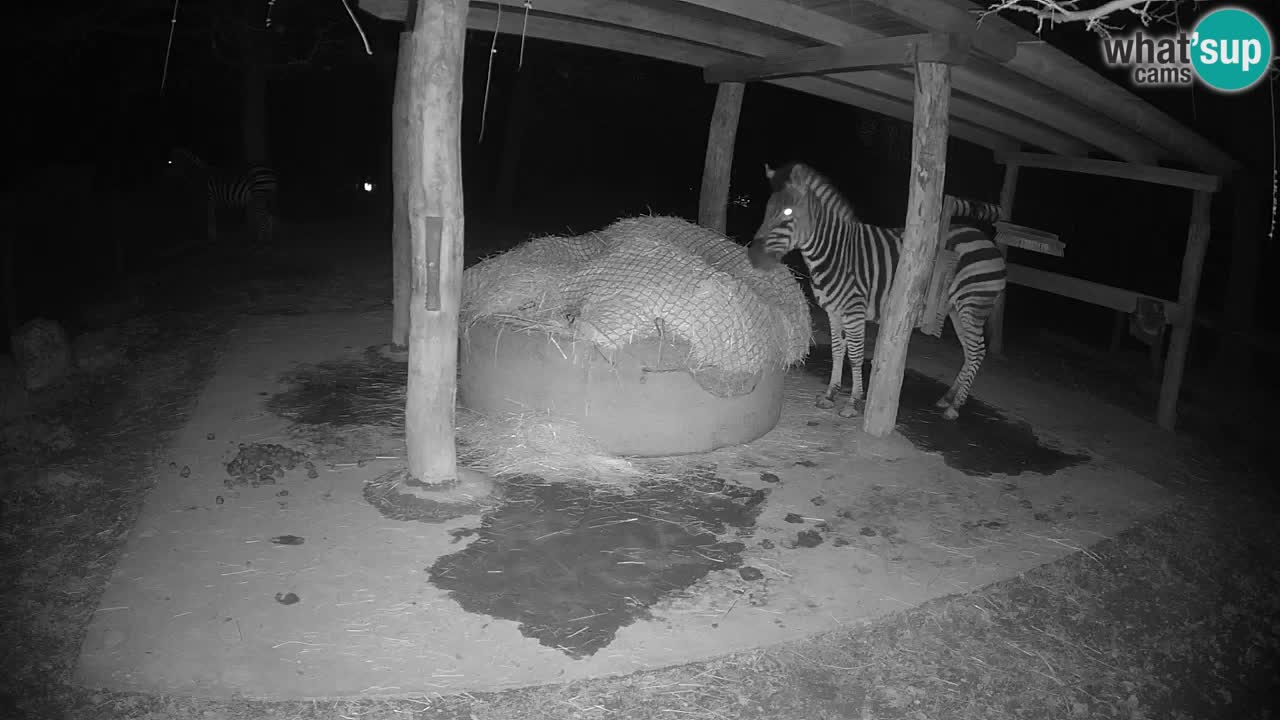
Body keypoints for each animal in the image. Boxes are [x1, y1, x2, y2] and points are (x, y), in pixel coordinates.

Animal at [747, 162, 1006, 421]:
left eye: (787, 212)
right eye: (767, 209)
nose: (752, 256)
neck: (835, 253)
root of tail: (985, 239)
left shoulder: (854, 311)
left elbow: (855, 354)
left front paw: (852, 402)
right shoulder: (834, 311)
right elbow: (837, 350)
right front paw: (830, 394)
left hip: (972, 305)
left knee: (977, 352)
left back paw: (955, 407)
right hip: (955, 310)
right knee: (969, 353)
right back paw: (948, 398)